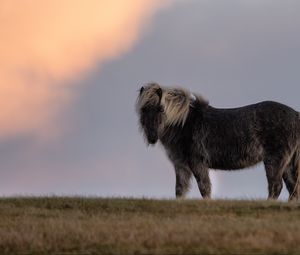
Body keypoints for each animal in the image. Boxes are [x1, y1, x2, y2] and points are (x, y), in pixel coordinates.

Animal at [137, 82, 300, 200]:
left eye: (161, 109)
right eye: (143, 110)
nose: (152, 137)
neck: (184, 124)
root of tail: (295, 115)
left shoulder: (197, 163)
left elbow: (204, 188)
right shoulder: (181, 165)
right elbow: (180, 190)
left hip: (275, 160)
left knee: (276, 186)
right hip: (287, 164)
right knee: (293, 188)